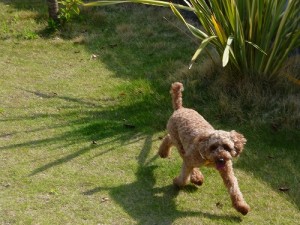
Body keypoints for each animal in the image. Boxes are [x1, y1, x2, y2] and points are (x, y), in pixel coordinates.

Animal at [159, 82, 251, 214]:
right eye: (213, 147)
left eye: (227, 147)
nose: (221, 159)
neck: (209, 158)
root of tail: (180, 108)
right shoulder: (190, 159)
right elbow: (184, 176)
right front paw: (178, 182)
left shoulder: (227, 170)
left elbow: (234, 187)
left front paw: (241, 206)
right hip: (180, 144)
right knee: (172, 142)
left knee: (168, 138)